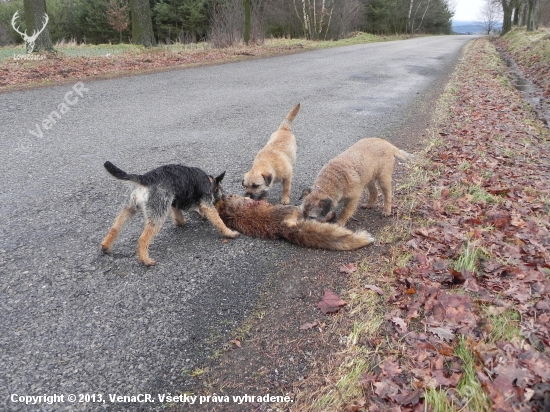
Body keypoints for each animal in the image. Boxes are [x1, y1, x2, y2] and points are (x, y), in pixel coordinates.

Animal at [100, 162, 238, 268]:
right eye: (222, 193)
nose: (225, 197)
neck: (209, 181)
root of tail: (145, 178)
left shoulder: (174, 203)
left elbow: (178, 216)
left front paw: (182, 222)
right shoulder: (206, 202)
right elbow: (218, 220)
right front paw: (229, 232)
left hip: (129, 208)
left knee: (115, 228)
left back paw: (106, 246)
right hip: (158, 214)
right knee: (143, 239)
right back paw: (145, 260)